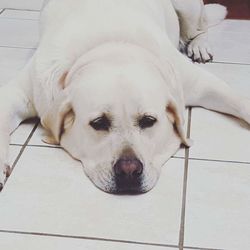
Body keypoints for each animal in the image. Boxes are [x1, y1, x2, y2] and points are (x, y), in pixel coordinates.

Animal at [0, 0, 250, 194]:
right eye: (98, 123)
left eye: (149, 121)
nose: (129, 171)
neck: (111, 46)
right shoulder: (20, 92)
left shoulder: (199, 84)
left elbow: (240, 101)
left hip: (188, 8)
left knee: (200, 28)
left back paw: (198, 46)